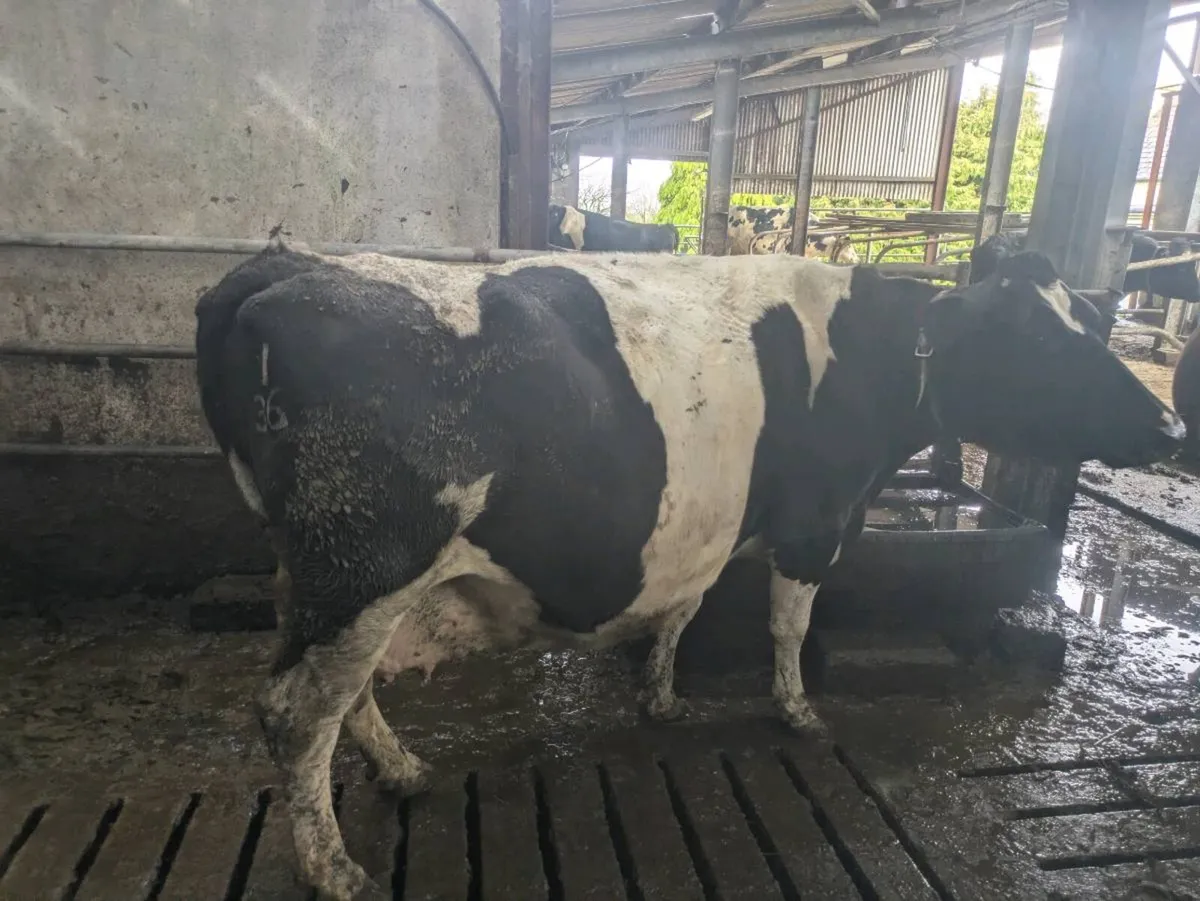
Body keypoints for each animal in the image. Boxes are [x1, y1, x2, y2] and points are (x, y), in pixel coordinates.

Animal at [195, 242, 1183, 900]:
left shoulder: (710, 530)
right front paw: (797, 711)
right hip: (366, 563)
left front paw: (663, 694)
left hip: (325, 578)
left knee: (341, 693)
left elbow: (685, 608)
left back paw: (401, 768)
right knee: (296, 711)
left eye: (1094, 321)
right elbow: (788, 622)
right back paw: (334, 865)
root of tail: (275, 270)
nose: (1172, 427)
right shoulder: (817, 522)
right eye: (1041, 340)